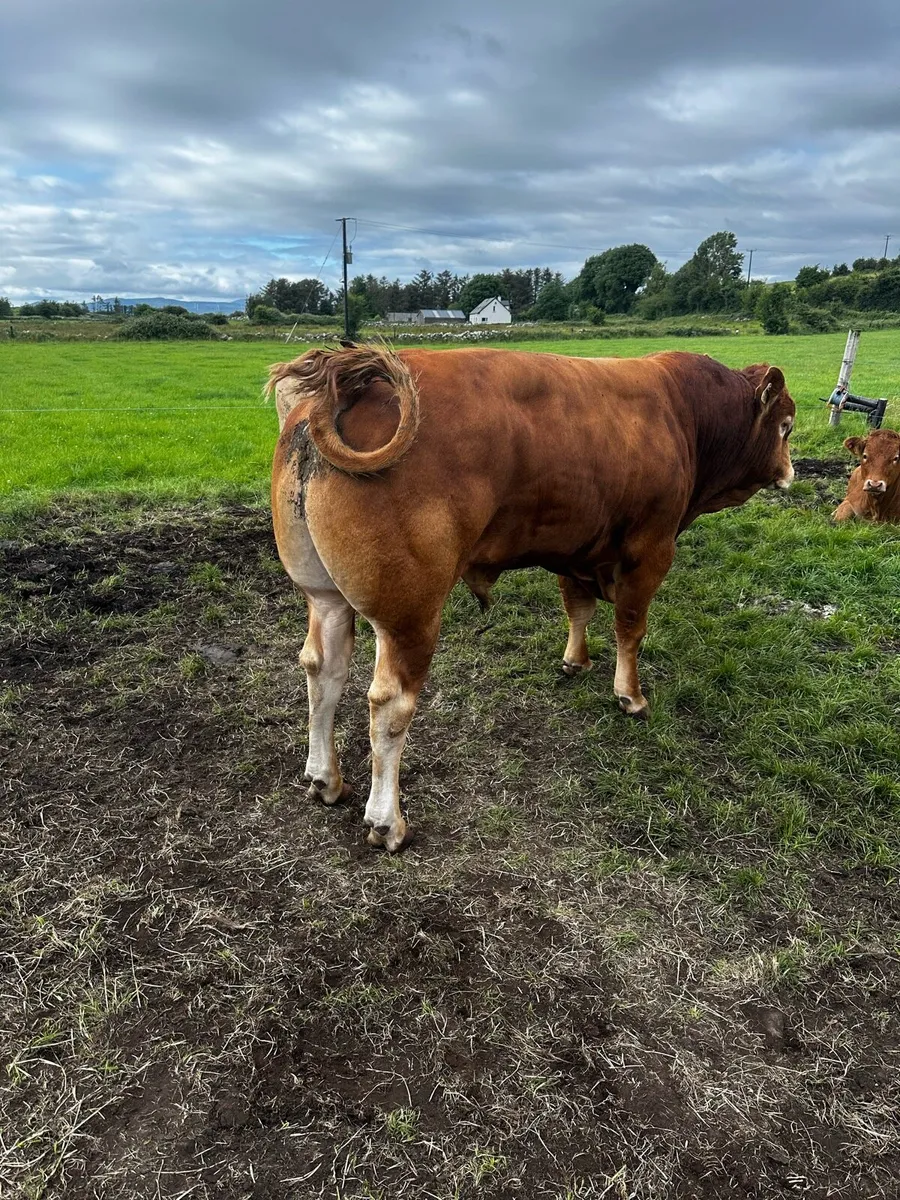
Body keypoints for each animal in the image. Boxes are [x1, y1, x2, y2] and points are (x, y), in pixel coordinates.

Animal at [269, 345, 795, 851]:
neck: (683, 411)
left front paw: (575, 661)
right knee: (389, 706)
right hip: (410, 615)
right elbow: (630, 627)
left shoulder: (576, 547)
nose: (790, 472)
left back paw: (326, 778)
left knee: (323, 670)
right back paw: (387, 822)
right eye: (786, 424)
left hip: (324, 596)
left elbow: (578, 608)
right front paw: (630, 695)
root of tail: (347, 382)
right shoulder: (650, 550)